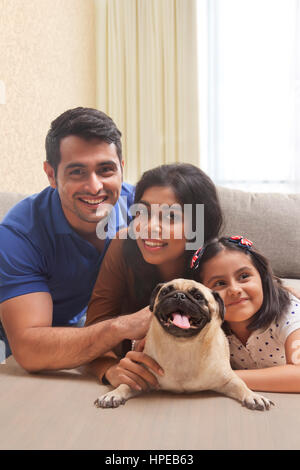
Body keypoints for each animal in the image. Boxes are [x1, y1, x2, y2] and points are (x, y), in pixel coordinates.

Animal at [94, 280, 274, 412]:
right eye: (165, 292)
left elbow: (242, 385)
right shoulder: (141, 377)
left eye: (198, 296)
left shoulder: (228, 380)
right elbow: (125, 385)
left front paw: (253, 396)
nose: (179, 296)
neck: (182, 347)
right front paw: (113, 394)